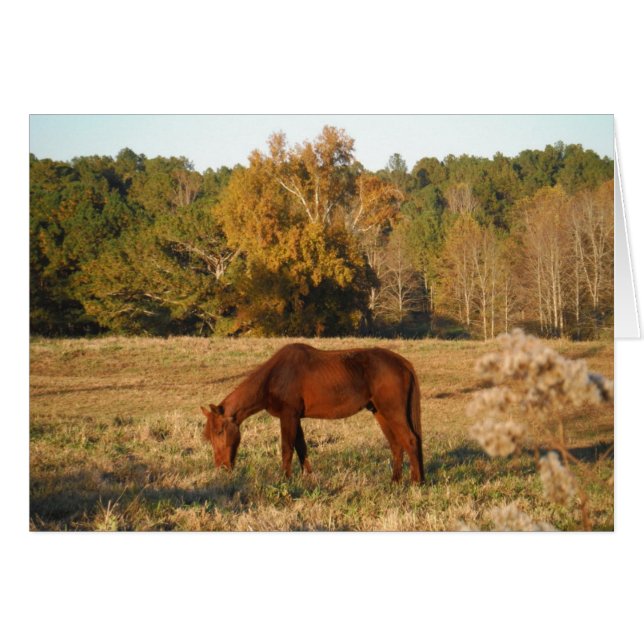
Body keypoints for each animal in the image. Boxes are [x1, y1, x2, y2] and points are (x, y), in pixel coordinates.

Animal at [200, 343, 425, 484]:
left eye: (219, 432)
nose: (222, 468)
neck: (274, 376)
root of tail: (403, 363)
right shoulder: (296, 418)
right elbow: (301, 447)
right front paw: (307, 476)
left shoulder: (288, 416)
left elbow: (287, 448)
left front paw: (285, 479)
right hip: (380, 413)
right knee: (396, 445)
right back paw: (395, 481)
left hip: (392, 411)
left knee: (410, 440)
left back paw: (416, 482)